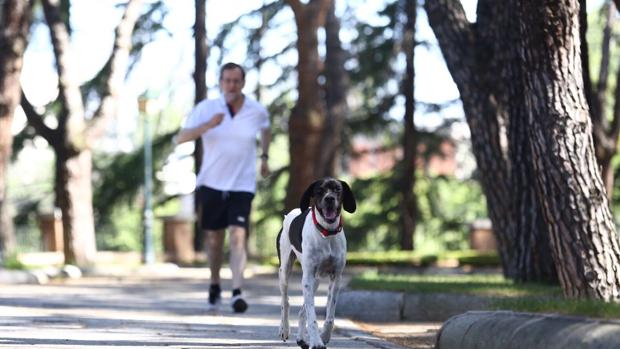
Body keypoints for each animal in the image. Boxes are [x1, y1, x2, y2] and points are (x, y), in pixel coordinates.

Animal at [274, 178, 354, 348]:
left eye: (338, 189)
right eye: (319, 190)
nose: (329, 199)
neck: (326, 233)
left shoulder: (336, 278)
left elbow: (330, 315)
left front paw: (324, 336)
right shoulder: (308, 278)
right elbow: (312, 316)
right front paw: (316, 342)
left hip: (315, 281)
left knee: (301, 310)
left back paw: (301, 338)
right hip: (286, 271)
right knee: (285, 301)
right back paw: (284, 329)